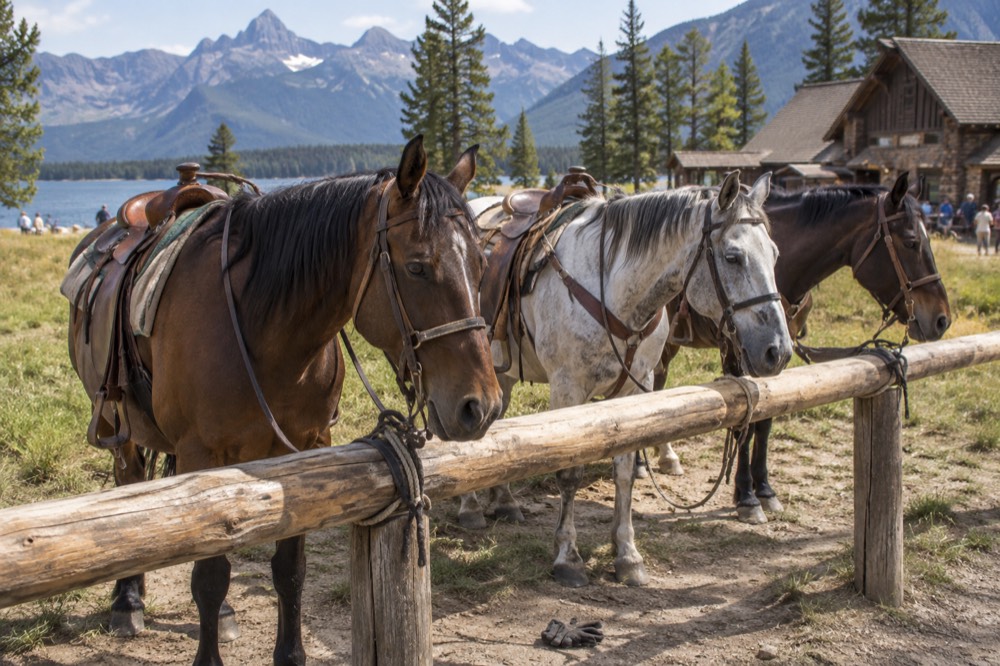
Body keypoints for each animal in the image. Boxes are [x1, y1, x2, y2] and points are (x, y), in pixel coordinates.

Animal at [65, 136, 503, 665]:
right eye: (417, 266)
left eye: (482, 265)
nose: (480, 406)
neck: (263, 326)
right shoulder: (200, 454)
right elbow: (208, 575)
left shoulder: (308, 450)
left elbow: (289, 568)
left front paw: (289, 652)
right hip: (121, 424)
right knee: (130, 480)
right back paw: (128, 601)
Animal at [462, 171, 792, 587]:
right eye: (733, 257)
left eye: (775, 254)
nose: (778, 350)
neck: (614, 288)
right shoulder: (568, 390)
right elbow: (570, 474)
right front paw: (568, 557)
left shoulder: (637, 389)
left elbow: (624, 473)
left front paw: (627, 555)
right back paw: (470, 508)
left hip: (501, 371)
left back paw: (503, 502)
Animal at [652, 172, 951, 523]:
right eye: (911, 242)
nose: (941, 319)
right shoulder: (740, 354)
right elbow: (744, 427)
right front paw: (746, 496)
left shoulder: (778, 351)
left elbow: (765, 420)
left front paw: (764, 489)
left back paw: (663, 456)